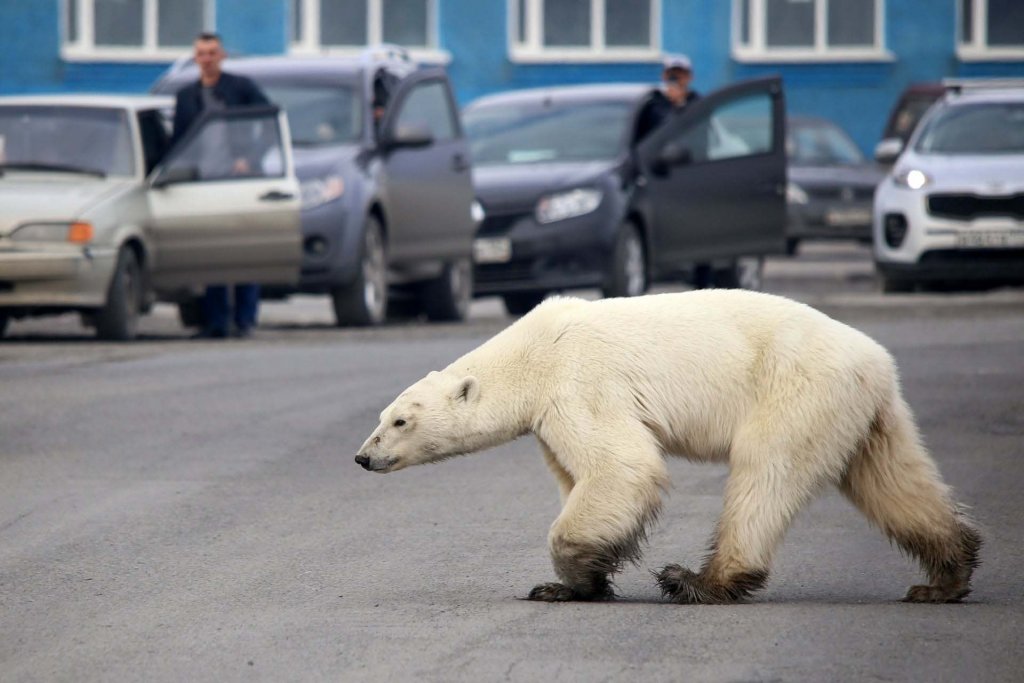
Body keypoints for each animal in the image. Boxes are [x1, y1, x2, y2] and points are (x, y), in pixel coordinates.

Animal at [356, 288, 978, 602]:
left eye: (400, 421)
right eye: (382, 417)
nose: (363, 456)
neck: (530, 352)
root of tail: (876, 362)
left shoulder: (579, 382)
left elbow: (621, 466)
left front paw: (571, 579)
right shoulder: (551, 415)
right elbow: (578, 476)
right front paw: (578, 581)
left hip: (795, 389)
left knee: (764, 473)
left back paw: (698, 580)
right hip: (865, 413)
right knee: (893, 481)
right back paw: (945, 577)